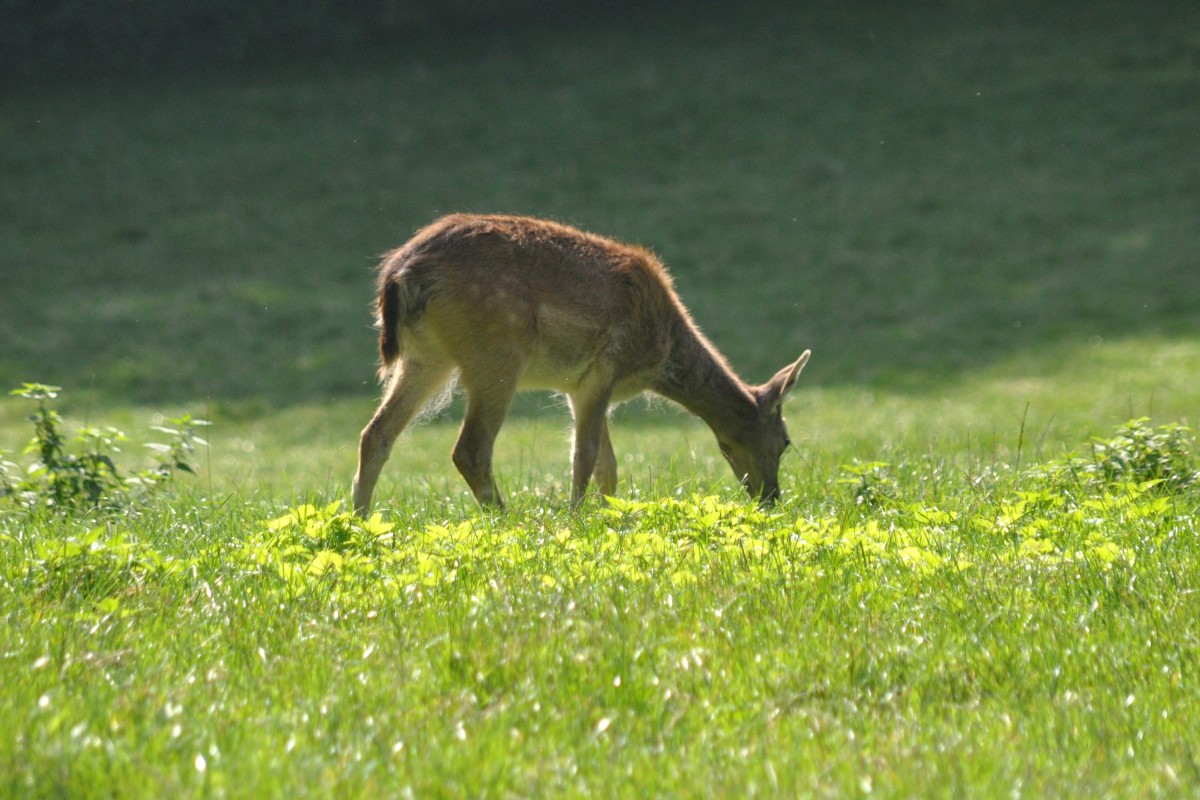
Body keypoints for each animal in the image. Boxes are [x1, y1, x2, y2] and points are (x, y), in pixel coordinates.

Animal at [350, 212, 811, 513]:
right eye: (786, 440)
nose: (772, 498)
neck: (659, 352)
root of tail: (399, 274)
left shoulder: (577, 386)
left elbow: (608, 465)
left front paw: (607, 514)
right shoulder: (603, 370)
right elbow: (585, 455)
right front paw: (577, 519)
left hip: (426, 358)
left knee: (375, 435)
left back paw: (361, 522)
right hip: (495, 354)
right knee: (470, 449)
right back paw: (505, 520)